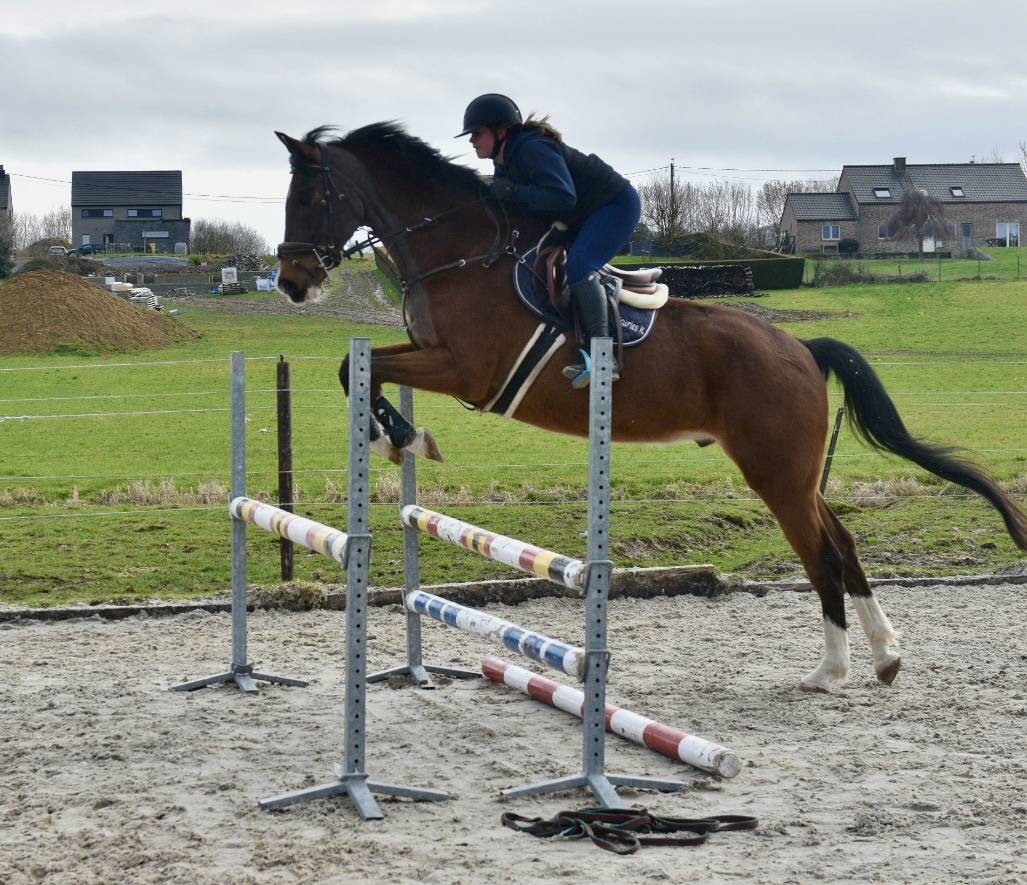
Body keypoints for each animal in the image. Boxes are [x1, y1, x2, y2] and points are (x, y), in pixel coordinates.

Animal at [273, 122, 1027, 693]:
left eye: (311, 194)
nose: (291, 282)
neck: (460, 253)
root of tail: (801, 347)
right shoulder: (431, 353)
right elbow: (358, 367)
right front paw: (397, 435)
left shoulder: (467, 370)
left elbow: (359, 369)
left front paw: (401, 435)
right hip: (796, 473)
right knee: (840, 542)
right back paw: (884, 655)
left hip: (776, 473)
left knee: (820, 553)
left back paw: (830, 669)